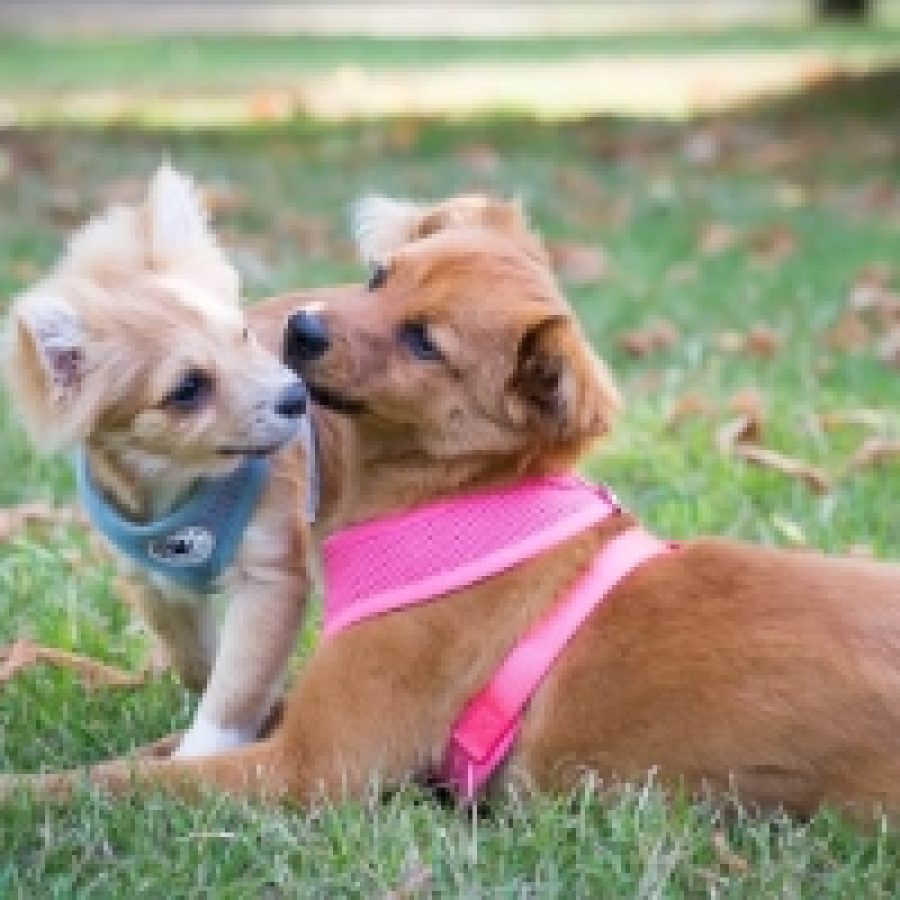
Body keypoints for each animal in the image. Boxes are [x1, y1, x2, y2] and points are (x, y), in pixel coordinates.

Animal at [5, 197, 900, 824]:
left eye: (424, 342)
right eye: (379, 276)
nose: (300, 324)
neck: (459, 499)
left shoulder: (314, 765)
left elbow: (131, 778)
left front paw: (27, 791)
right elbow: (175, 745)